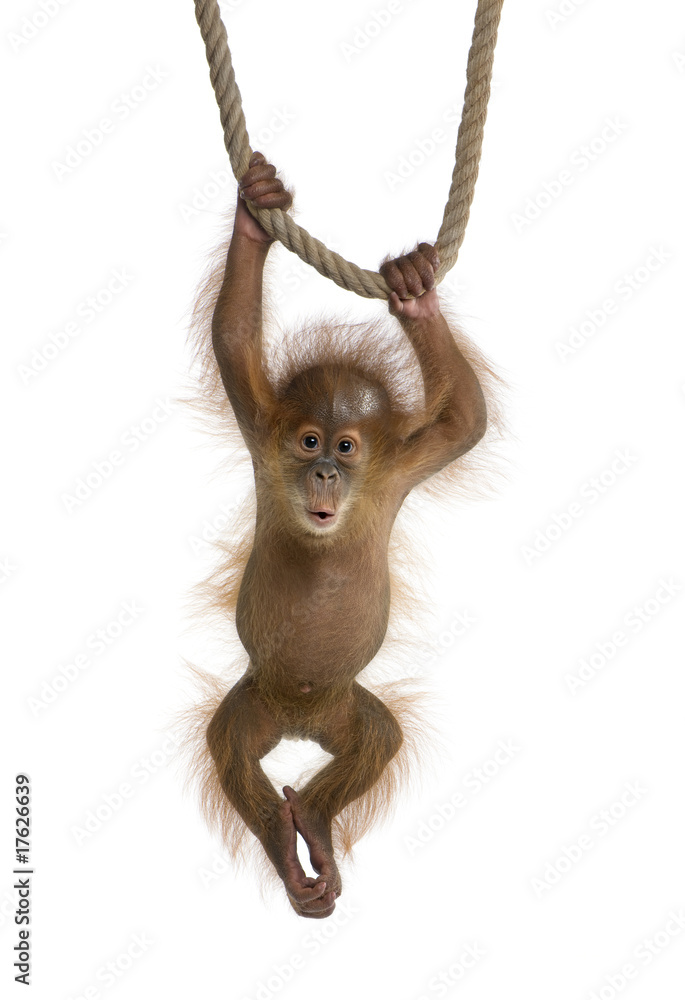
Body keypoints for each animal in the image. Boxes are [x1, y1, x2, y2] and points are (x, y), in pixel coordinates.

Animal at [186, 151, 500, 919]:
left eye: (347, 447)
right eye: (308, 441)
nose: (325, 471)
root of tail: (303, 723)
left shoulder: (402, 467)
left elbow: (466, 420)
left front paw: (415, 295)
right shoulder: (260, 431)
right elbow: (232, 337)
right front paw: (255, 213)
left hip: (345, 711)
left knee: (378, 740)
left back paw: (317, 825)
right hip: (257, 701)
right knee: (230, 746)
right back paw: (287, 844)